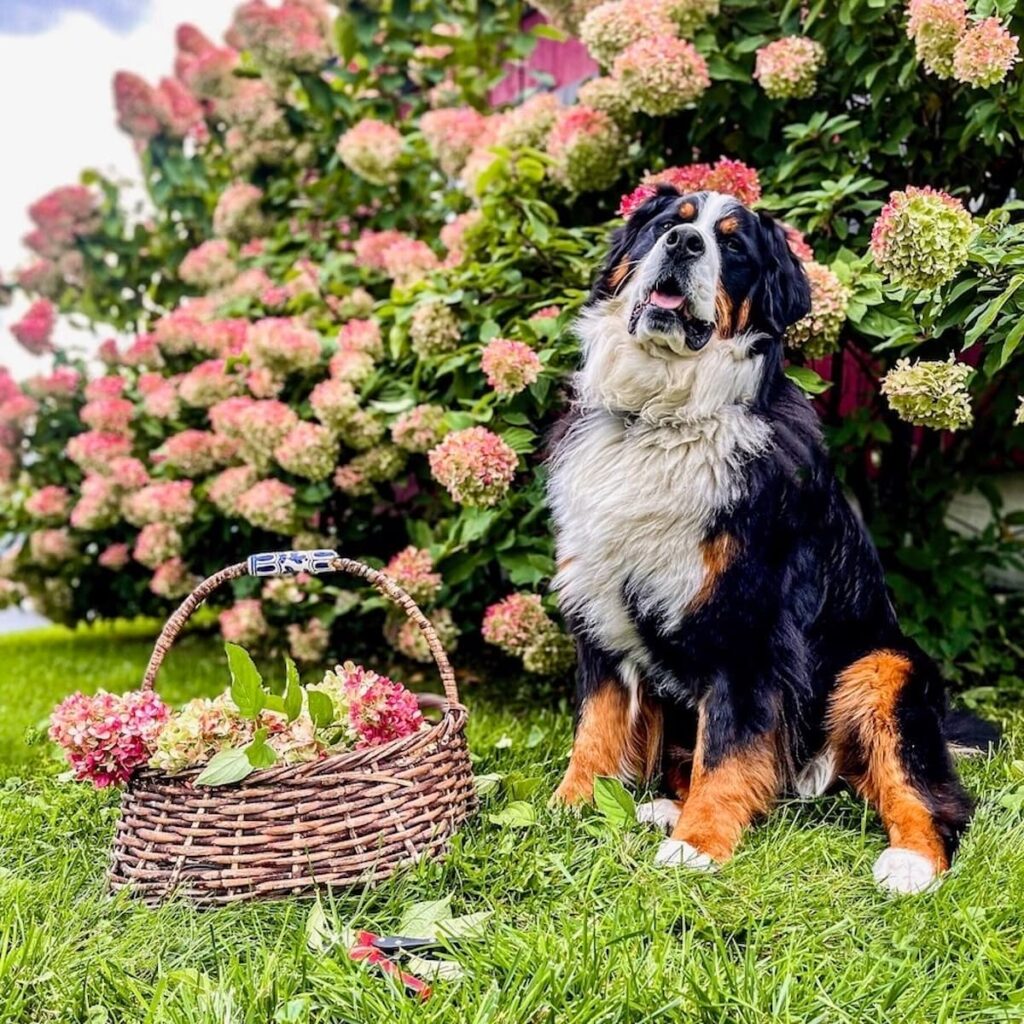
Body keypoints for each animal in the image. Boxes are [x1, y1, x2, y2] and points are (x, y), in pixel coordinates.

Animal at [548, 188, 995, 892]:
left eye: (732, 245)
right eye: (668, 223)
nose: (684, 245)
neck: (662, 420)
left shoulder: (750, 624)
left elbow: (729, 746)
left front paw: (698, 844)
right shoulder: (600, 609)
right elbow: (596, 728)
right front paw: (570, 809)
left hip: (884, 669)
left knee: (932, 796)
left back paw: (912, 863)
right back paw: (662, 806)